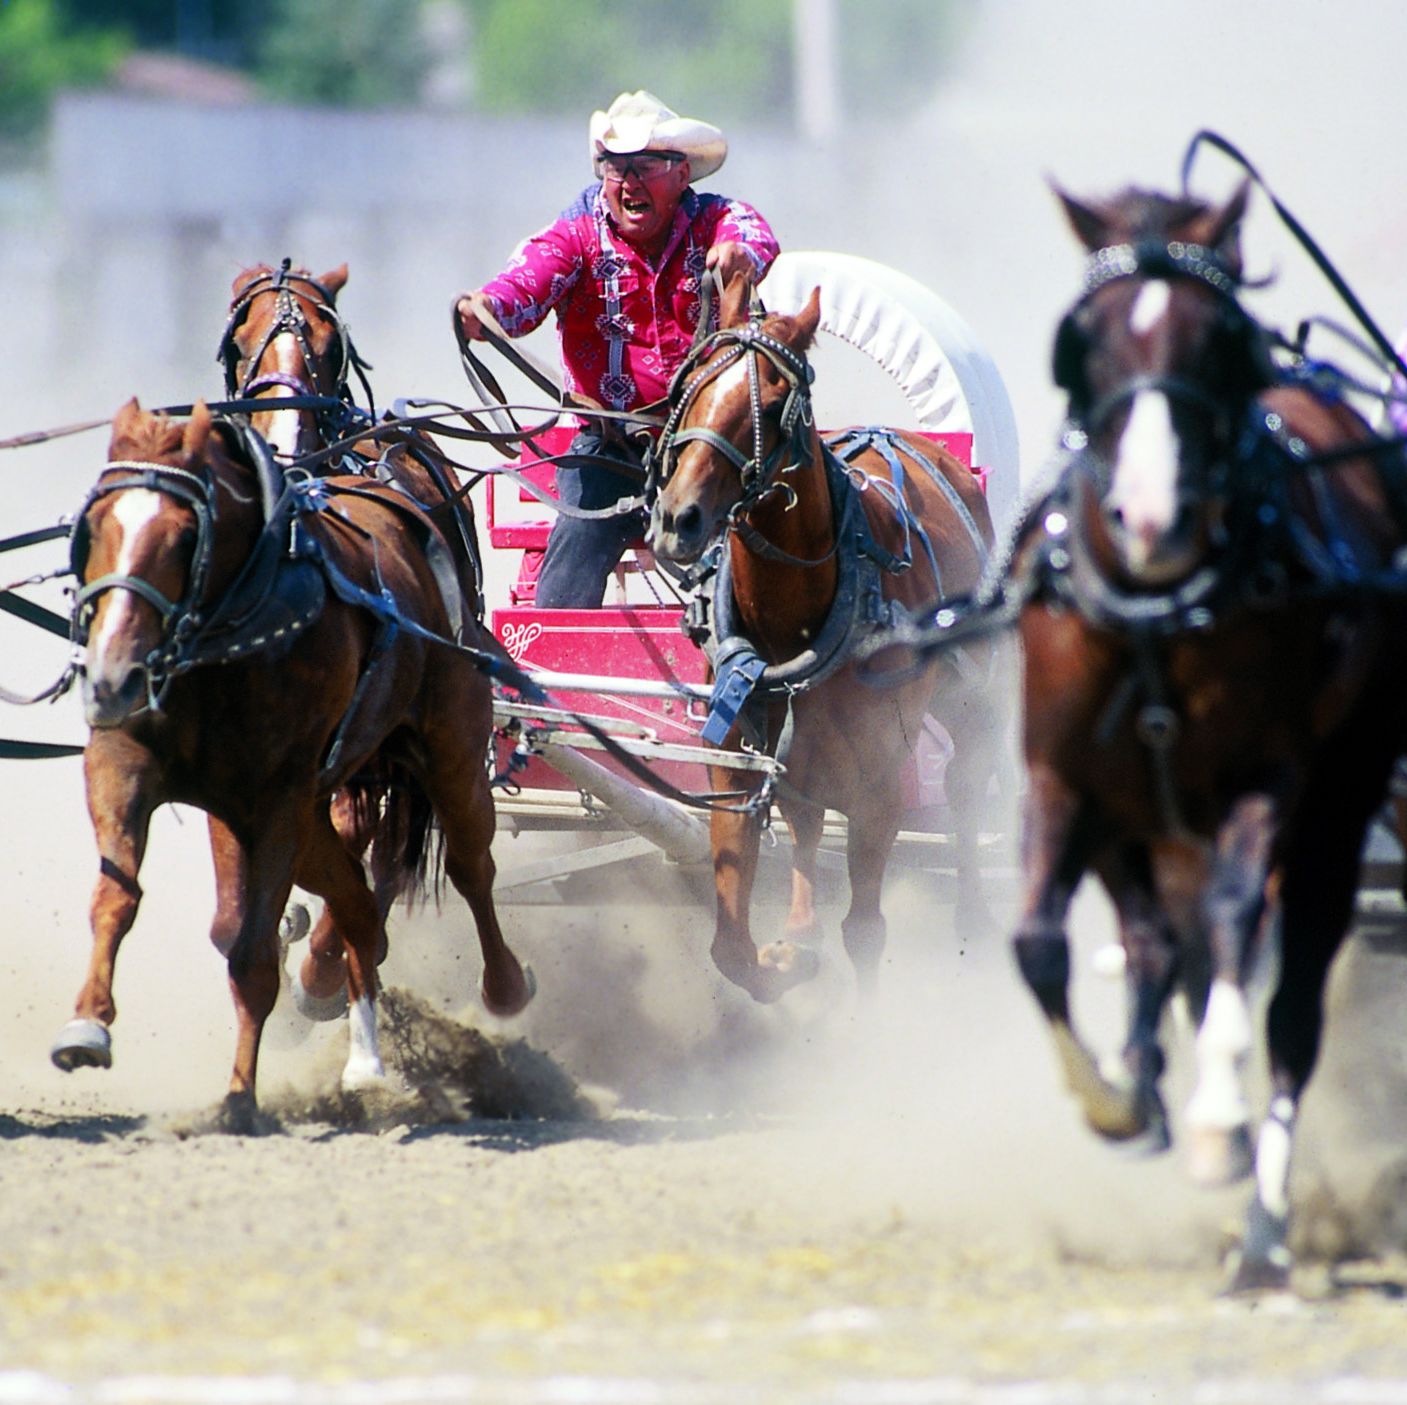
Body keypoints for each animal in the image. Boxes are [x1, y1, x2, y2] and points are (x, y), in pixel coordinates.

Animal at [51, 402, 531, 1125]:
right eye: (96, 523)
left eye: (186, 535)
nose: (111, 675)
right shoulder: (127, 765)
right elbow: (118, 895)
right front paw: (86, 1026)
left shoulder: (274, 803)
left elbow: (251, 953)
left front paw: (240, 1097)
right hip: (320, 809)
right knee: (357, 899)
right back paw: (363, 1058)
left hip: (449, 756)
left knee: (473, 866)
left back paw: (502, 987)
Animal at [652, 271, 1007, 1001]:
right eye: (690, 385)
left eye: (774, 400)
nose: (677, 519)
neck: (794, 618)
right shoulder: (733, 764)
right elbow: (730, 947)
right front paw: (787, 960)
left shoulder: (881, 782)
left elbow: (865, 931)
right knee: (807, 820)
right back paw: (801, 923)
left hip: (971, 697)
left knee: (965, 787)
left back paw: (973, 917)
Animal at [1001, 181, 1407, 1288]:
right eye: (1083, 340)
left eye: (1220, 340)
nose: (1150, 516)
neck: (1157, 609)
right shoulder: (1063, 780)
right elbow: (1039, 943)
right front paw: (1114, 1098)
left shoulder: (1264, 780)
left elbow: (1235, 928)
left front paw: (1217, 1120)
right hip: (1142, 820)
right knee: (1154, 944)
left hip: (1336, 809)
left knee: (1288, 1006)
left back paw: (1263, 1229)